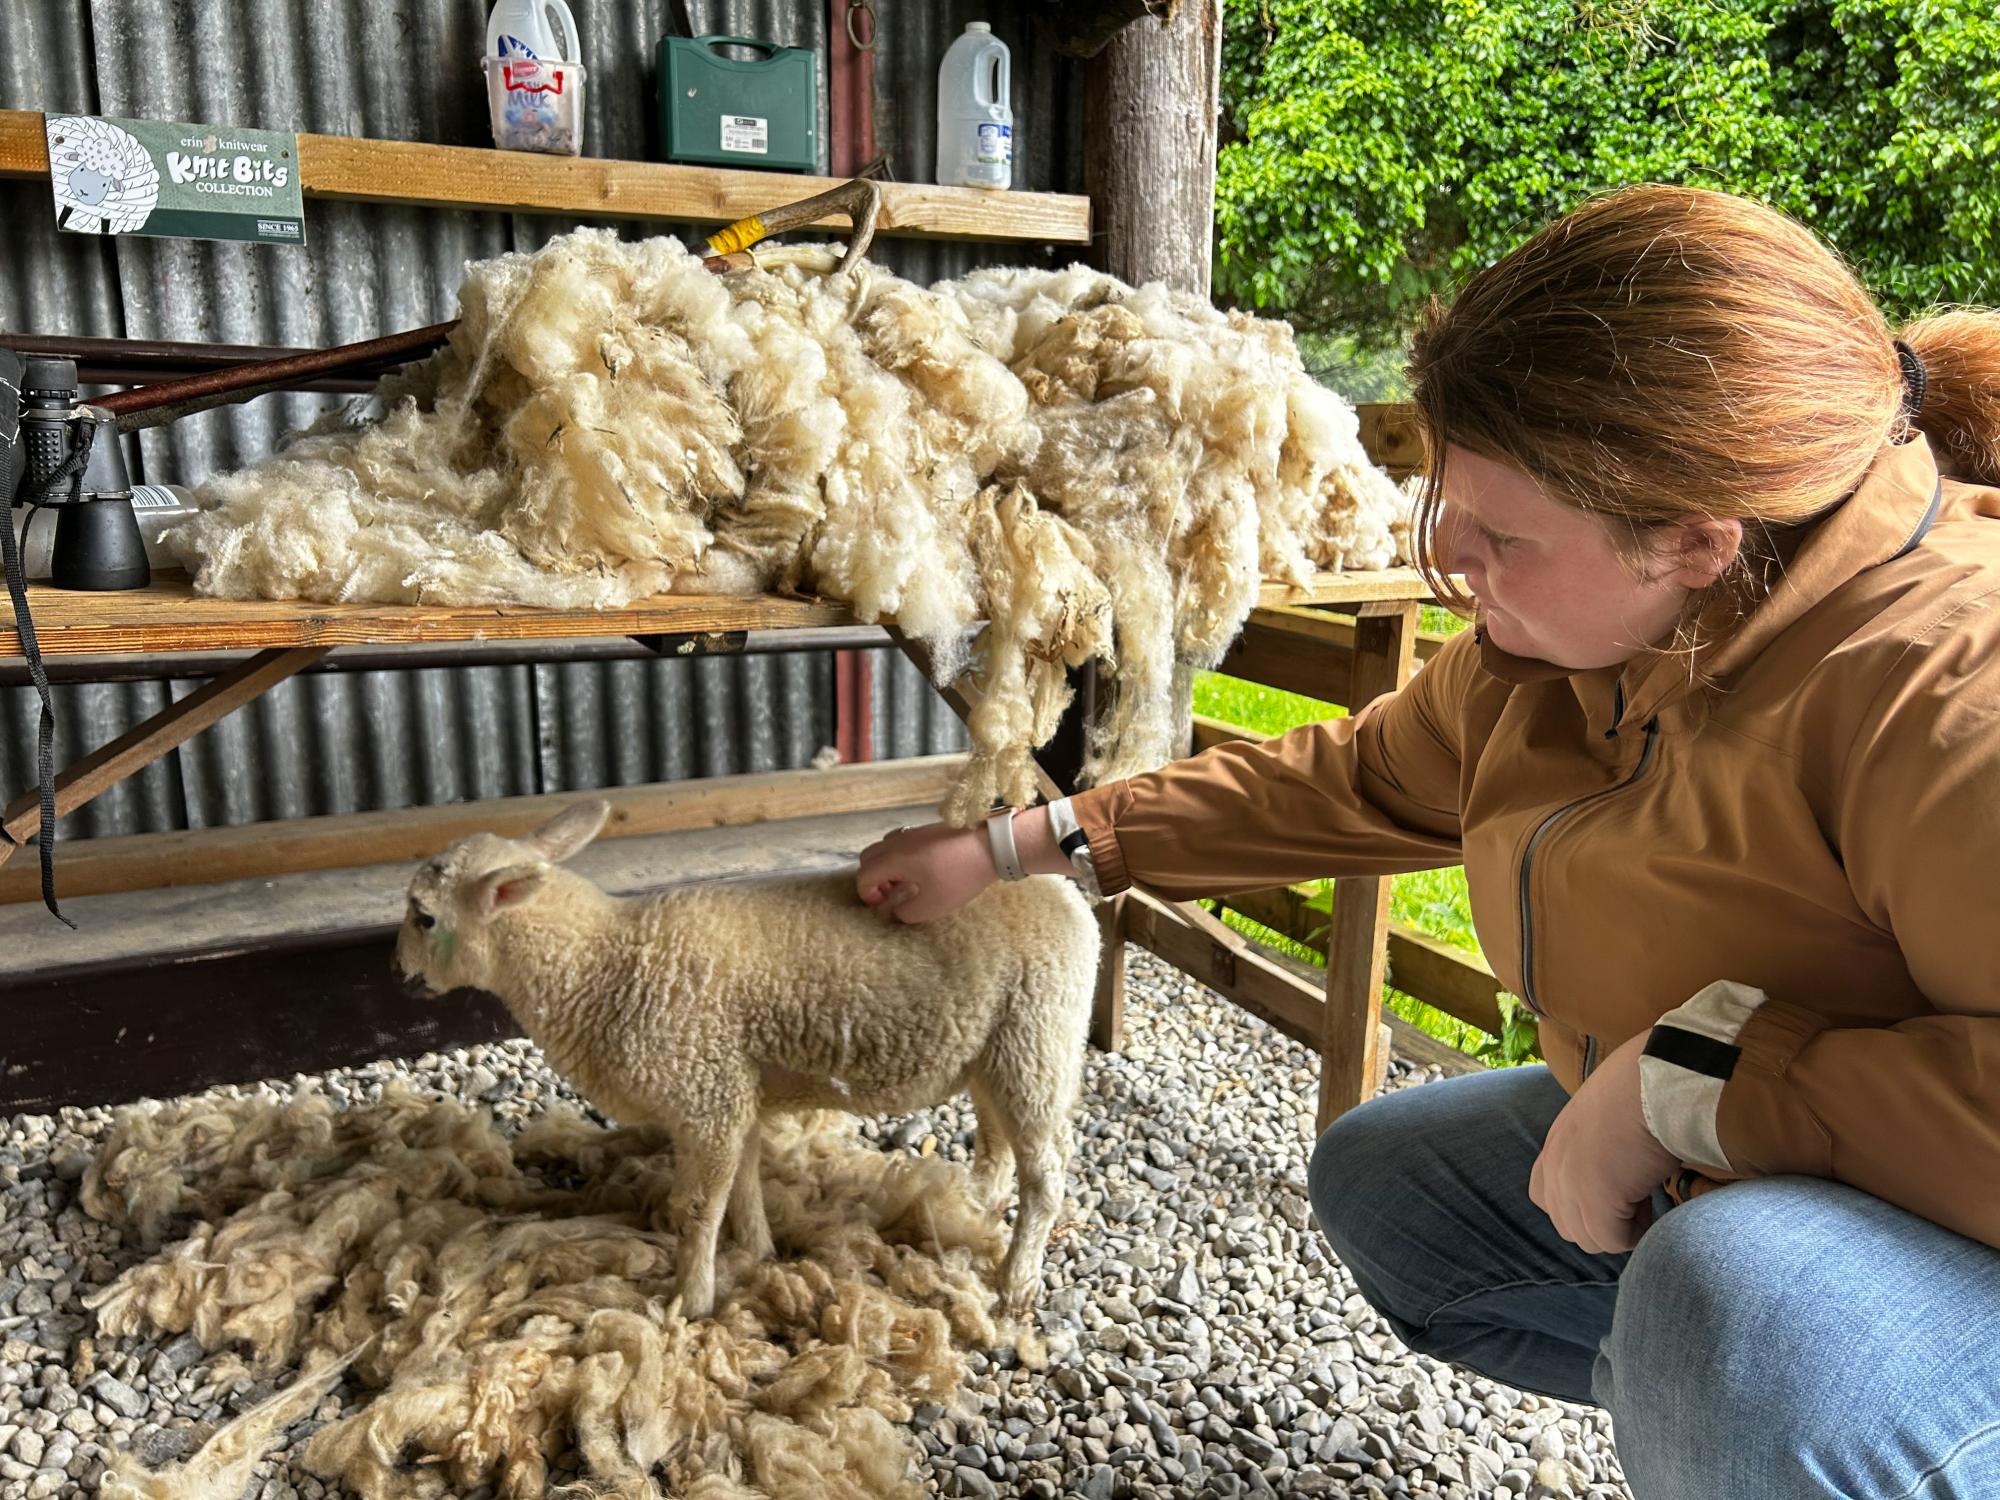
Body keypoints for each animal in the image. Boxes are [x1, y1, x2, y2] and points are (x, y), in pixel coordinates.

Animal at [392, 798, 1101, 1321]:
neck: (601, 965)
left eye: (424, 917)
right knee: (999, 1140)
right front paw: (758, 1253)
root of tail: (1065, 893)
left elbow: (696, 1208)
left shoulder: (704, 1093)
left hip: (1039, 1033)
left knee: (1046, 1168)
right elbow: (743, 1185)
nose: (398, 970)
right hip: (998, 1046)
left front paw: (690, 1298)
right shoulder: (734, 1091)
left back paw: (1017, 1279)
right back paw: (976, 1206)